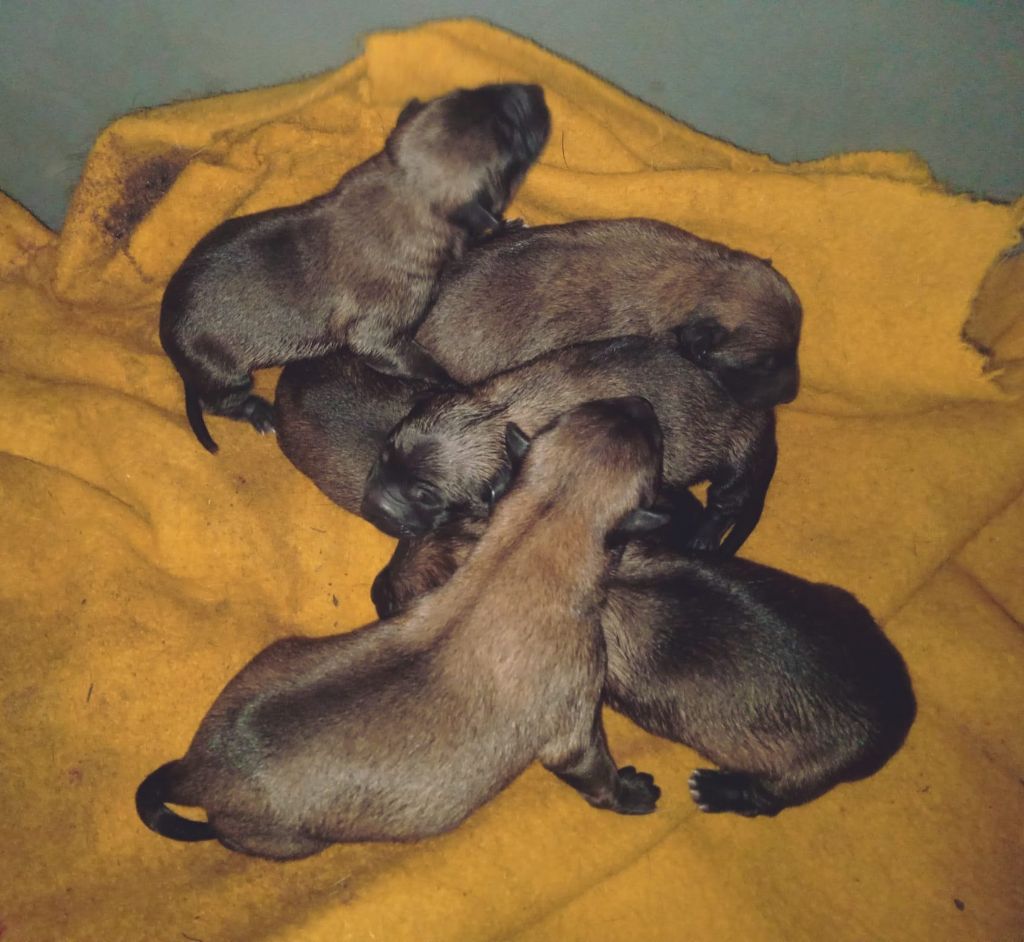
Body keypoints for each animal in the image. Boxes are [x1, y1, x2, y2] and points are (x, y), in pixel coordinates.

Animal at [134, 397, 663, 860]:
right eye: (655, 449)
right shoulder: (574, 729)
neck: (532, 534)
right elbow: (598, 777)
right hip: (292, 841)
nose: (642, 402)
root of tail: (194, 770)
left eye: (586, 411)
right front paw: (633, 792)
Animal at [159, 81, 552, 452]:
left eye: (473, 90)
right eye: (512, 140)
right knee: (219, 402)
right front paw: (451, 382)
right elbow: (410, 358)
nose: (536, 90)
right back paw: (258, 412)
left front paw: (507, 227)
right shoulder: (377, 335)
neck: (402, 186)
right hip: (225, 371)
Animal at [364, 335, 770, 552]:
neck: (492, 416)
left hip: (735, 456)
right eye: (383, 456)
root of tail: (765, 421)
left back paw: (705, 536)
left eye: (426, 497)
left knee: (726, 501)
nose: (376, 508)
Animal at [372, 489, 917, 815]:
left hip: (806, 769)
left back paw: (720, 791)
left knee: (769, 798)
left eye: (401, 602)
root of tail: (900, 715)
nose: (376, 589)